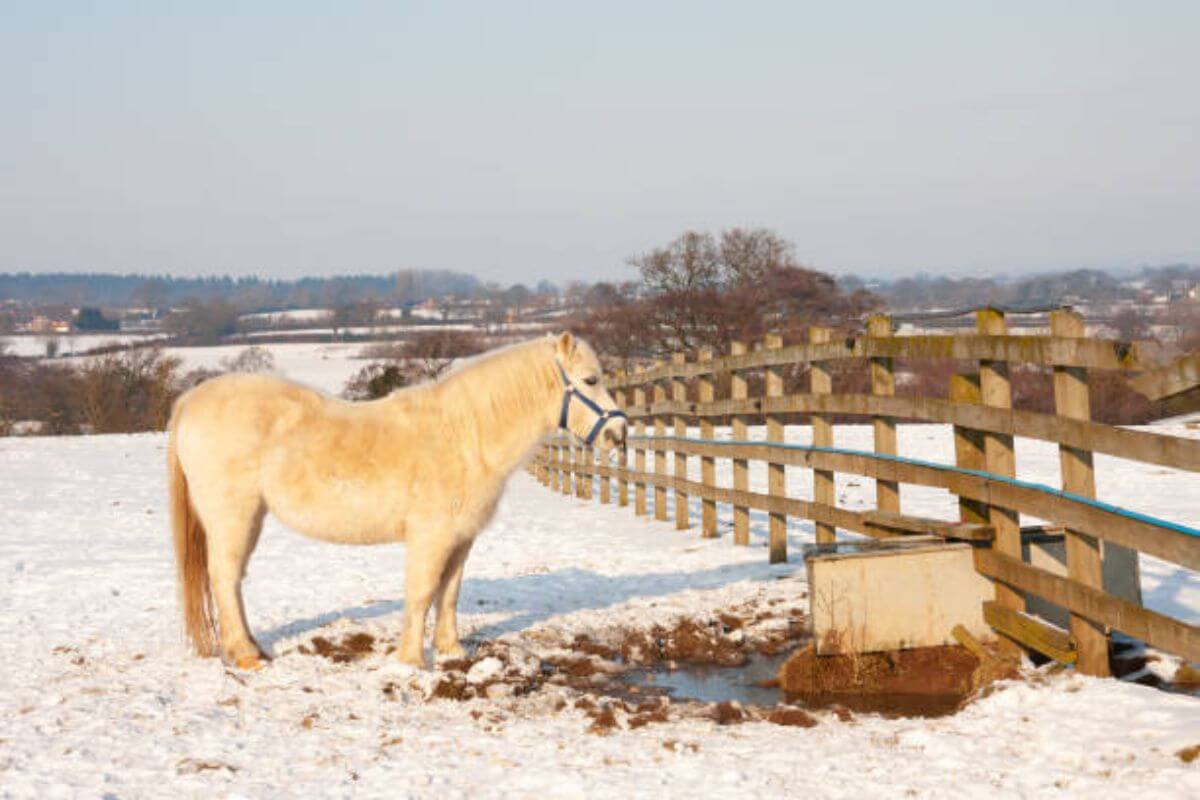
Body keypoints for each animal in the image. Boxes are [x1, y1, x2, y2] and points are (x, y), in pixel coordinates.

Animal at [169, 331, 628, 671]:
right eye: (590, 380)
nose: (619, 434)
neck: (464, 436)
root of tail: (190, 402)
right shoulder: (431, 535)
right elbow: (422, 592)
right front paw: (412, 661)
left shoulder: (461, 537)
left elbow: (449, 592)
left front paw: (450, 651)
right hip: (234, 517)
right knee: (224, 577)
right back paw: (246, 656)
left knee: (232, 581)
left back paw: (252, 648)